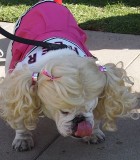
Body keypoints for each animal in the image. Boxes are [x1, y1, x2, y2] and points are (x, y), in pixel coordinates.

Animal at [0, 0, 136, 151]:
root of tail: (48, 2)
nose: (80, 120)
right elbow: (19, 116)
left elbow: (96, 116)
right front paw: (22, 138)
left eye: (90, 108)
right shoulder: (19, 87)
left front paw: (94, 133)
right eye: (64, 112)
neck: (58, 56)